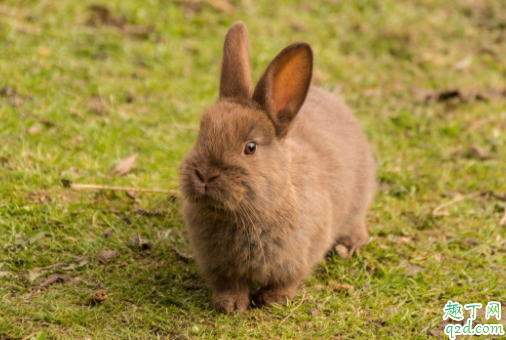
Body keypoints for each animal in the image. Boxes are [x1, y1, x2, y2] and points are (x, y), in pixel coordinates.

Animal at [179, 21, 376, 314]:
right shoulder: (218, 267)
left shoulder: (300, 255)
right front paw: (230, 305)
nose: (204, 174)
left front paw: (273, 301)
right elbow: (229, 284)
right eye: (200, 134)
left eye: (250, 147)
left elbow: (287, 281)